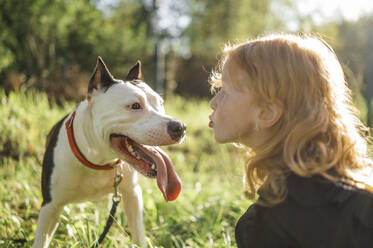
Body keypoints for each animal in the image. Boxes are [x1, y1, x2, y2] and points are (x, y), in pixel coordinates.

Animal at [31, 56, 185, 248]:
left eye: (161, 103)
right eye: (135, 106)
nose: (180, 127)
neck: (98, 159)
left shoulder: (132, 195)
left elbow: (138, 234)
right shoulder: (50, 206)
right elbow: (41, 239)